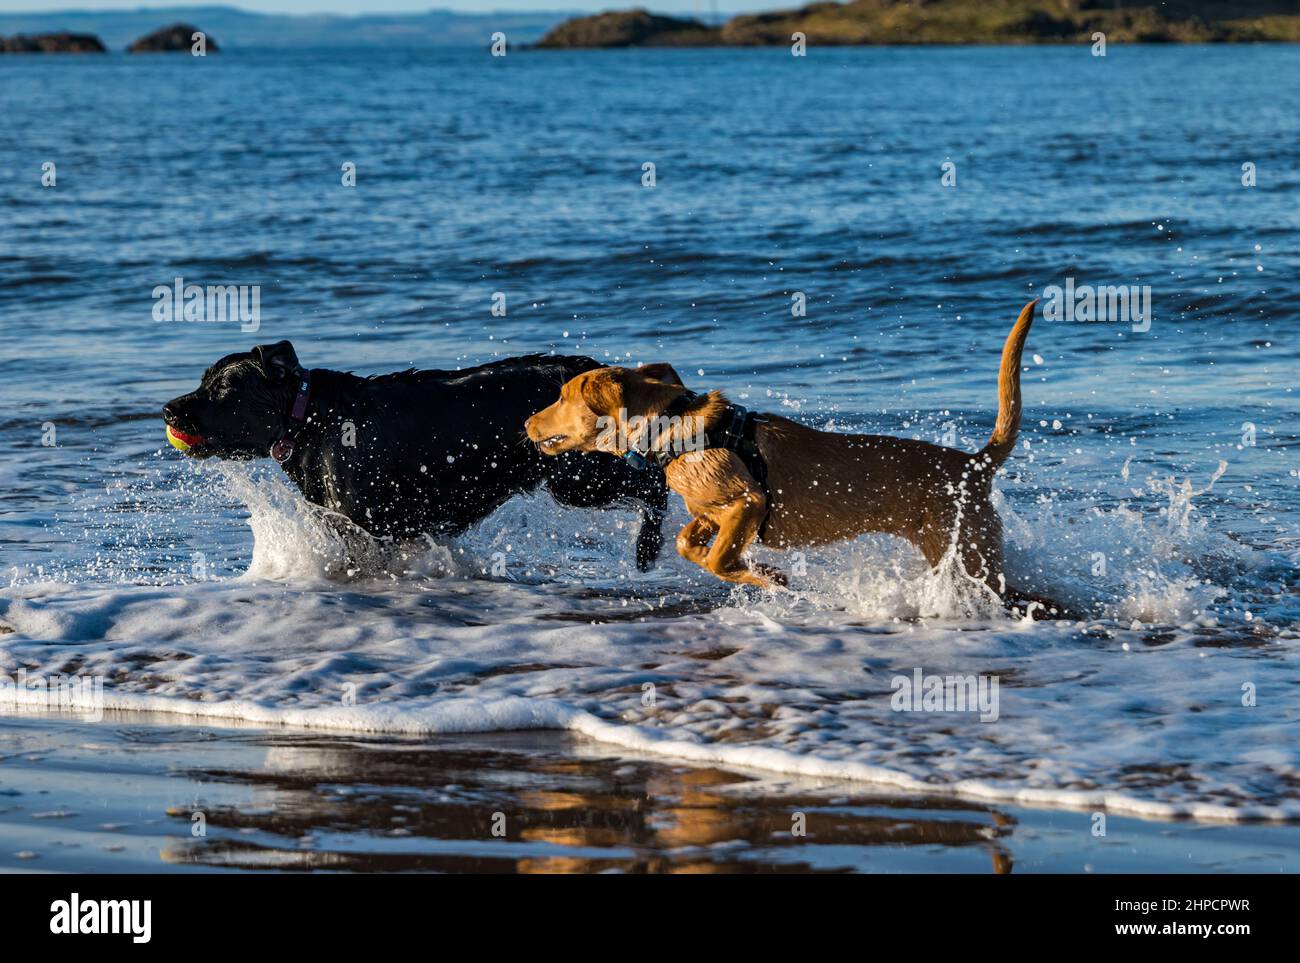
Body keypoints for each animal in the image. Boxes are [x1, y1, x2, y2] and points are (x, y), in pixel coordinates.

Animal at [159, 343, 670, 571]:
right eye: (204, 381)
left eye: (223, 390)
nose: (167, 409)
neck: (311, 420)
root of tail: (591, 369)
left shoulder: (371, 528)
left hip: (579, 478)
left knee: (655, 483)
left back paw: (648, 548)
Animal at [525, 298, 1034, 592]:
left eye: (562, 397)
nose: (527, 421)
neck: (675, 429)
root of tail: (975, 463)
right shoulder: (714, 512)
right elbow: (689, 542)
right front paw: (742, 566)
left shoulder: (748, 501)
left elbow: (719, 557)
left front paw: (766, 577)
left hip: (967, 549)